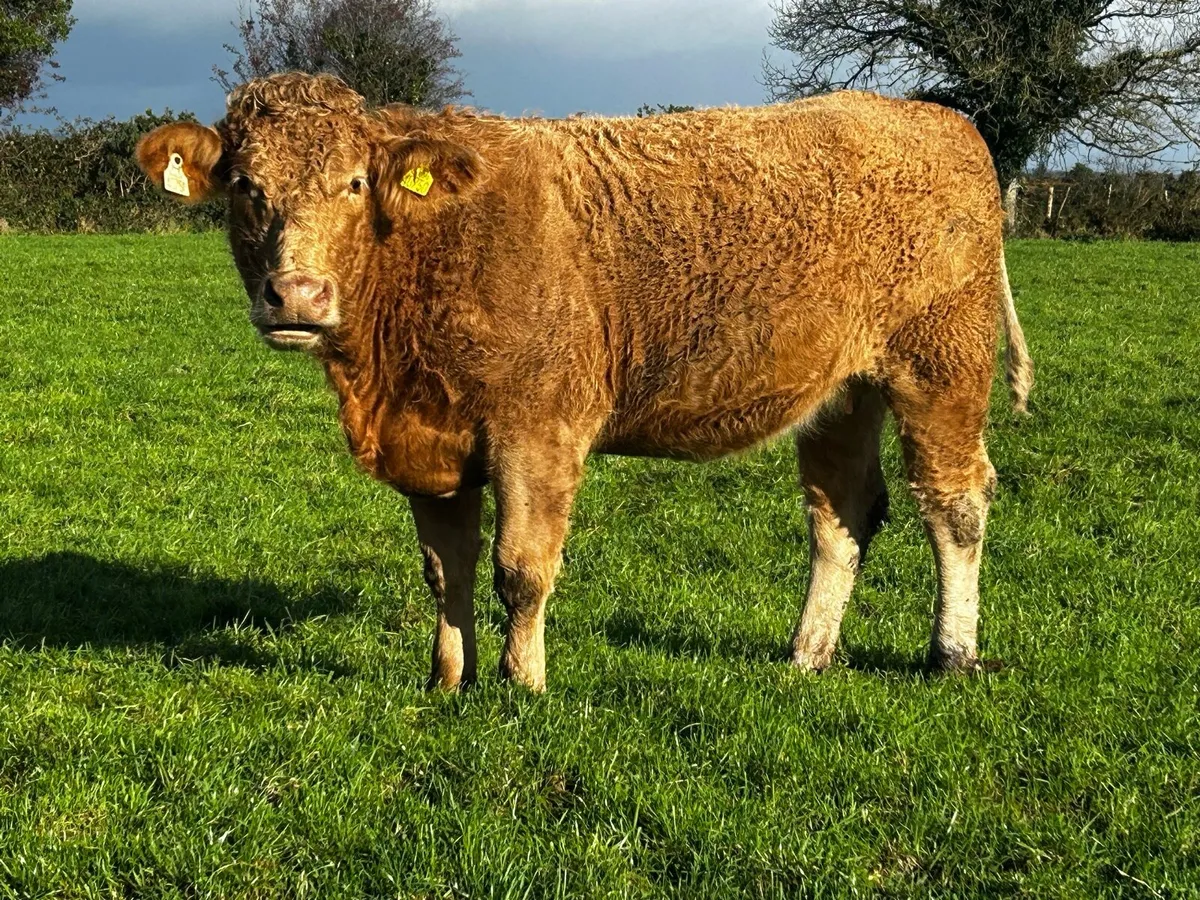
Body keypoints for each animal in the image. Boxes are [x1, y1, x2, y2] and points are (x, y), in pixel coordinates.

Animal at [136, 73, 1033, 692]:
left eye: (354, 183)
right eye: (246, 188)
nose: (296, 295)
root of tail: (933, 117)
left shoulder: (538, 430)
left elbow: (522, 567)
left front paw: (522, 682)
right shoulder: (432, 443)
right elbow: (446, 569)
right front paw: (448, 678)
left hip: (940, 366)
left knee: (955, 501)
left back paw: (952, 653)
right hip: (844, 391)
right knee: (841, 513)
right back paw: (806, 655)